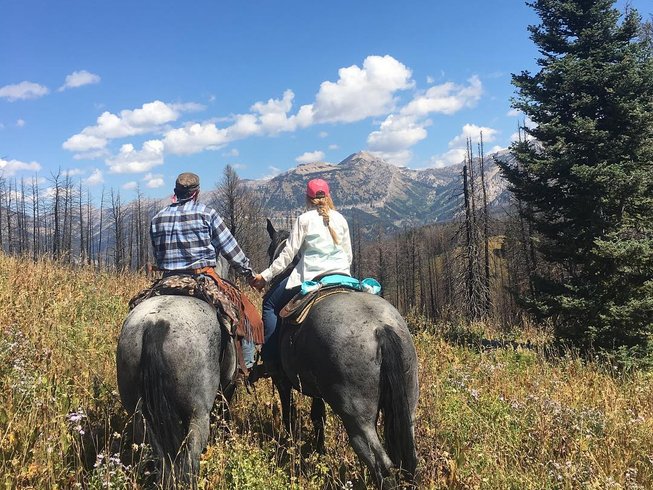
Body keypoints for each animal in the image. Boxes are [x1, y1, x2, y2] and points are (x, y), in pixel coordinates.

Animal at [264, 221, 418, 486]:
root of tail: (381, 329)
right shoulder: (315, 388)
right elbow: (318, 416)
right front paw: (319, 450)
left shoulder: (282, 379)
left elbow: (288, 411)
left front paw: (290, 441)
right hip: (407, 405)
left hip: (357, 419)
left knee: (382, 467)